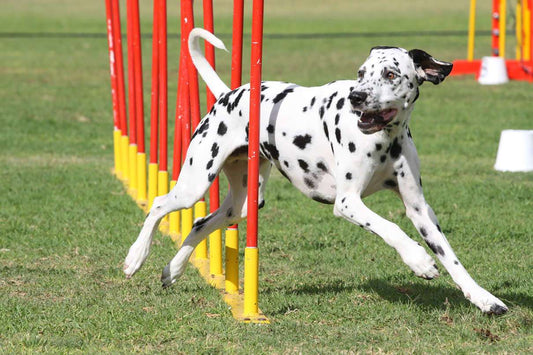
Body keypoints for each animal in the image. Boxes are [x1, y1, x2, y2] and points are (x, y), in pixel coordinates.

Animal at [123, 29, 508, 316]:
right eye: (360, 73)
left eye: (390, 74)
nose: (357, 97)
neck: (387, 139)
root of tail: (229, 94)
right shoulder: (348, 203)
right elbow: (391, 228)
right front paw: (419, 261)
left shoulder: (420, 210)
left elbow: (453, 259)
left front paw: (484, 299)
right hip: (195, 184)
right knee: (159, 204)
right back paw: (135, 258)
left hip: (245, 203)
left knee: (201, 222)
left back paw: (172, 270)